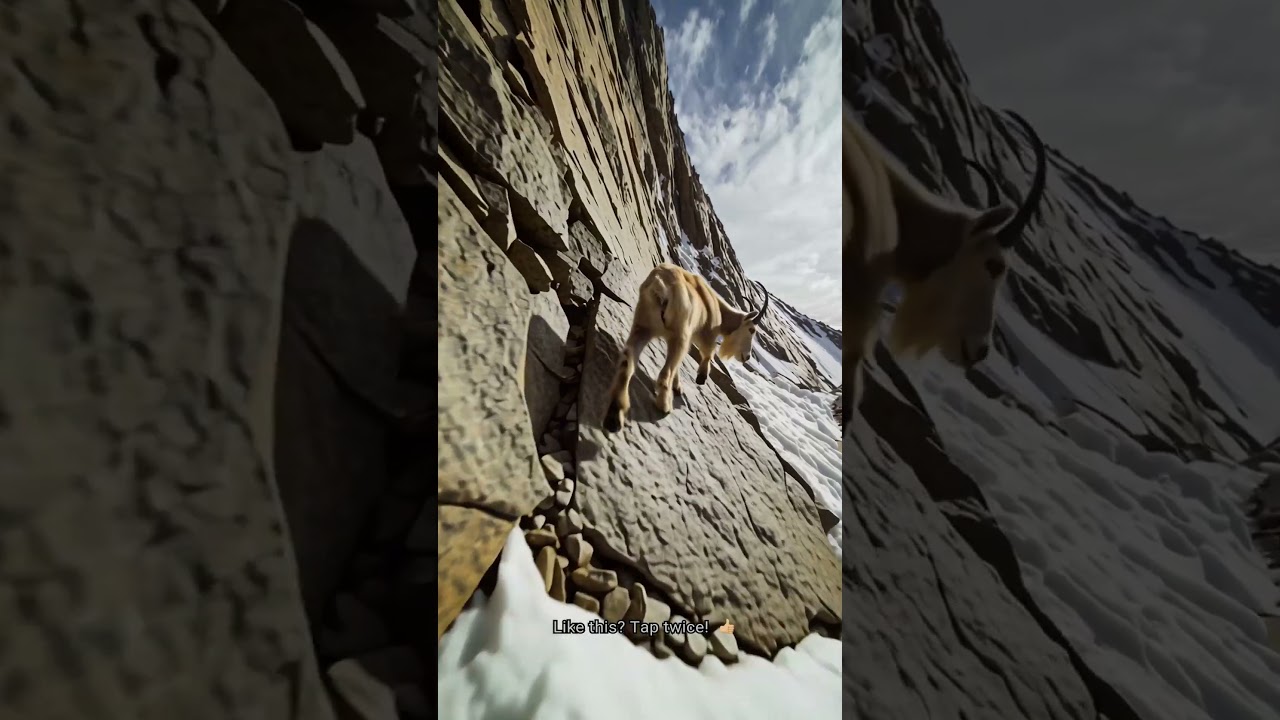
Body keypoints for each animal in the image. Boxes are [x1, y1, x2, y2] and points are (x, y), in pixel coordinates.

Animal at [603, 263, 771, 433]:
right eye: (751, 330)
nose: (747, 356)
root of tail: (660, 285)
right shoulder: (705, 334)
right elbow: (707, 353)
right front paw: (701, 377)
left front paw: (678, 387)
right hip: (678, 334)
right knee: (665, 373)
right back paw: (664, 406)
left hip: (643, 326)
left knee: (628, 361)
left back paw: (614, 416)